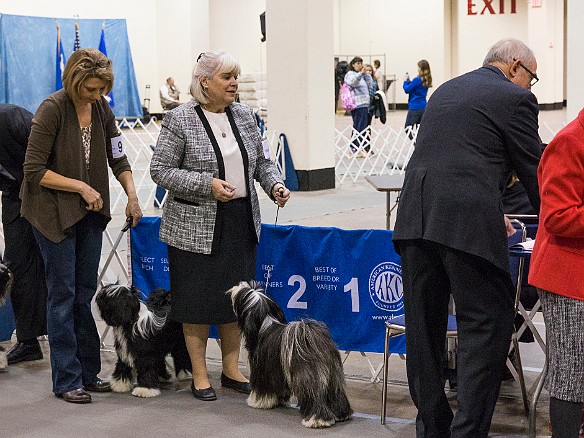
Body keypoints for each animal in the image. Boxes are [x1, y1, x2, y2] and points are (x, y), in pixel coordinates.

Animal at [230, 280, 354, 428]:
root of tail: (313, 338)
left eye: (243, 294)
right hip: (332, 377)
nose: (239, 285)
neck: (263, 324)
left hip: (307, 376)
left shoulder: (263, 371)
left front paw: (256, 402)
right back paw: (342, 414)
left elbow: (262, 389)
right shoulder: (278, 374)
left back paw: (317, 420)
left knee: (315, 396)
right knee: (336, 394)